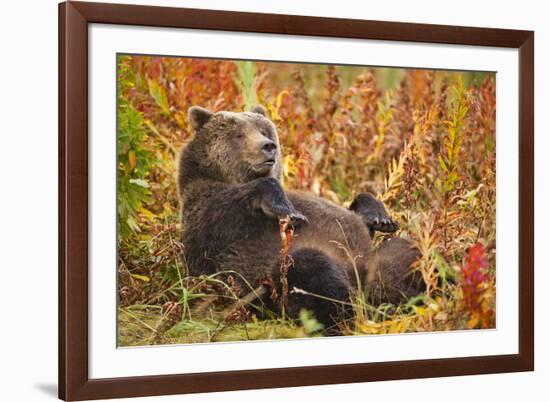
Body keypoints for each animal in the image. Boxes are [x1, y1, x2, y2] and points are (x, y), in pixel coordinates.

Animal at [179, 104, 424, 332]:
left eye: (263, 130)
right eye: (239, 134)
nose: (268, 146)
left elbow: (358, 215)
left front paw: (381, 218)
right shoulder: (211, 214)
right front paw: (289, 210)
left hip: (380, 261)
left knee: (408, 252)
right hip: (278, 281)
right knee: (311, 270)